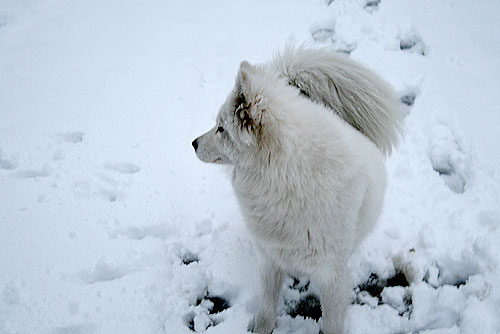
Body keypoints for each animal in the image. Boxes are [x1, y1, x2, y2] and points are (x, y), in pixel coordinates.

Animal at [191, 47, 402, 334]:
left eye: (221, 128)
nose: (193, 143)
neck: (286, 176)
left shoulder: (331, 275)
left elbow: (332, 323)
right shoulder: (270, 258)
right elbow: (266, 309)